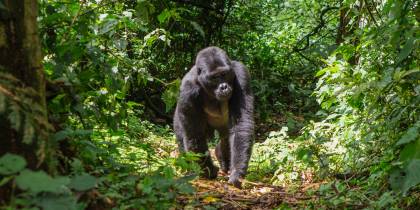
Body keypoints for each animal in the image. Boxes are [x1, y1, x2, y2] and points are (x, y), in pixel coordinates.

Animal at [173, 46, 254, 188]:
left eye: (224, 74)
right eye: (215, 77)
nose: (224, 87)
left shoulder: (241, 73)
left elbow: (241, 125)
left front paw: (237, 172)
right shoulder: (188, 90)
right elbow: (195, 135)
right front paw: (208, 171)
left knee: (226, 138)